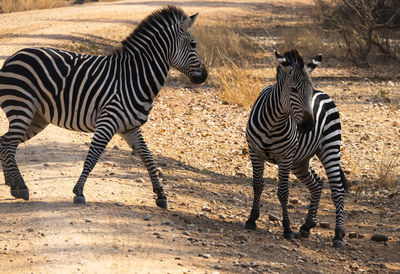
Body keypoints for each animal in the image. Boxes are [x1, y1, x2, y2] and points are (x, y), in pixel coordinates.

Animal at [0, 5, 208, 208]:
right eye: (193, 45)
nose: (205, 76)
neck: (134, 77)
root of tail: (12, 57)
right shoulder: (108, 120)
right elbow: (93, 156)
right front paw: (79, 192)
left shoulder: (130, 128)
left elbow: (148, 157)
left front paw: (161, 196)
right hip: (21, 107)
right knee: (9, 144)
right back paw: (21, 187)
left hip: (36, 117)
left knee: (4, 142)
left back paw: (13, 185)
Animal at [244, 49, 346, 248]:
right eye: (293, 90)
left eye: (310, 91)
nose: (309, 126)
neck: (274, 122)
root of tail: (324, 93)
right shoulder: (255, 152)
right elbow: (257, 185)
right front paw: (252, 219)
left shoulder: (285, 157)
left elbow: (283, 192)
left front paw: (287, 228)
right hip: (300, 161)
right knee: (317, 184)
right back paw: (307, 226)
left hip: (330, 148)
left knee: (337, 190)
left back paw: (338, 234)